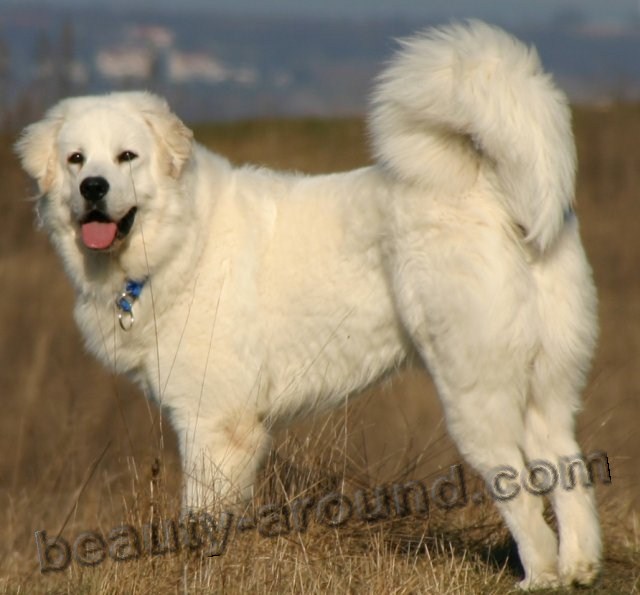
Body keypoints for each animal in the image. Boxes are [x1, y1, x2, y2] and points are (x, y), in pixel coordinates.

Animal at [17, 21, 604, 588]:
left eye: (127, 156)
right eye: (75, 159)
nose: (93, 187)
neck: (182, 241)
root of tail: (490, 186)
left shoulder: (213, 420)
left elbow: (203, 514)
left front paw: (200, 571)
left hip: (475, 392)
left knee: (520, 489)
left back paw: (541, 576)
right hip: (544, 386)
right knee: (566, 469)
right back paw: (579, 568)